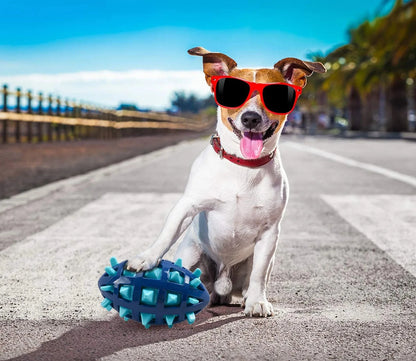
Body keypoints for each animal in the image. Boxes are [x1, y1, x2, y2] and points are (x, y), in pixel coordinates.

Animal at [127, 47, 324, 316]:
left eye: (274, 95)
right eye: (233, 93)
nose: (250, 118)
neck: (243, 165)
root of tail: (222, 286)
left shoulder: (270, 232)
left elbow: (259, 274)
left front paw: (257, 302)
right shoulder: (187, 206)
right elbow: (166, 234)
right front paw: (145, 258)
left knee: (252, 278)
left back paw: (245, 297)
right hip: (191, 253)